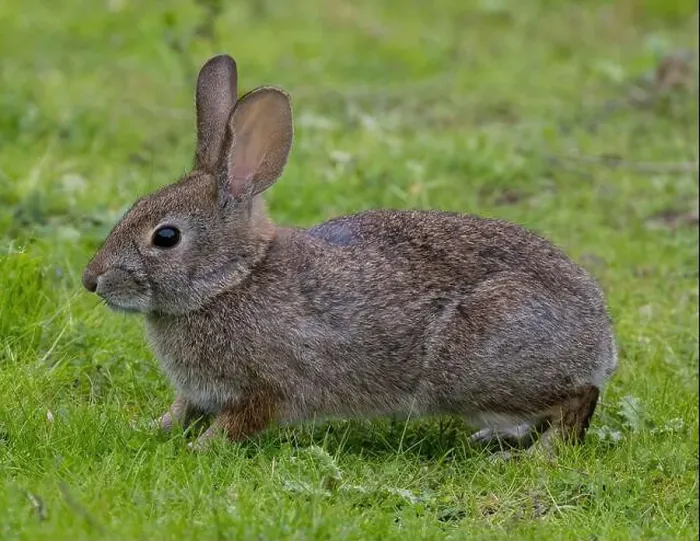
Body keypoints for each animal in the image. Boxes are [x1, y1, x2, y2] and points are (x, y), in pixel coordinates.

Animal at [82, 54, 617, 454]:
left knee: (578, 399)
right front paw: (150, 429)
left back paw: (538, 455)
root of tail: (601, 338)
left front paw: (198, 450)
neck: (231, 280)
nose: (91, 280)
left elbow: (235, 425)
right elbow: (181, 410)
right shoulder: (198, 391)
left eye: (166, 237)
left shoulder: (266, 389)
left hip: (479, 367)